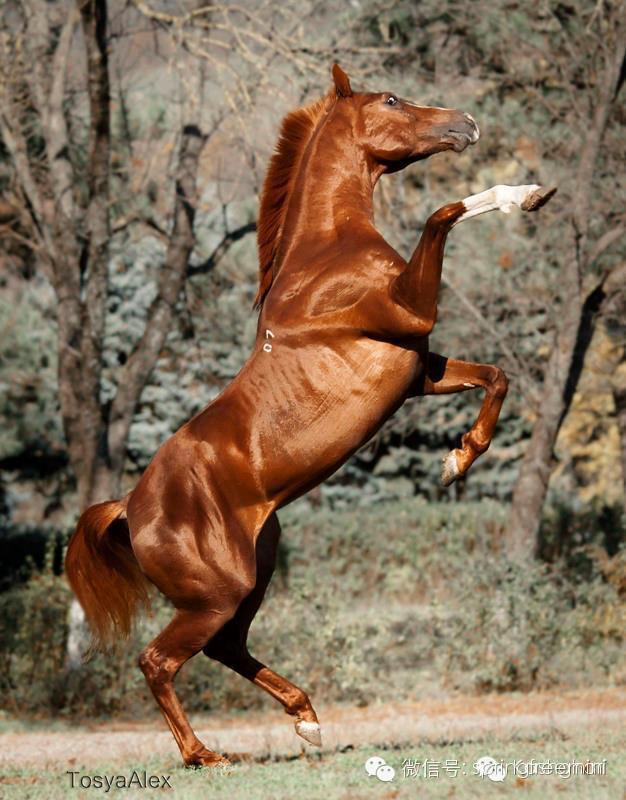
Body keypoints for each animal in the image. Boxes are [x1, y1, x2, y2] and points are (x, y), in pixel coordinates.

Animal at [65, 63, 555, 768]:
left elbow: (495, 376)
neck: (325, 257)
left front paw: (457, 460)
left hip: (250, 578)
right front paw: (524, 195)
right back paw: (205, 755)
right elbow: (442, 214)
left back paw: (307, 720)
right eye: (391, 99)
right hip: (216, 592)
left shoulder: (418, 369)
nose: (465, 123)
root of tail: (131, 506)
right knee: (158, 660)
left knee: (227, 648)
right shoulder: (410, 312)